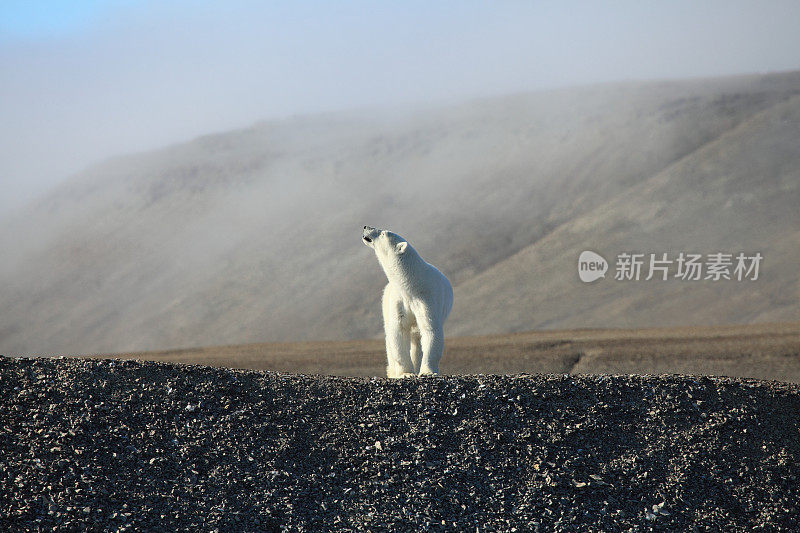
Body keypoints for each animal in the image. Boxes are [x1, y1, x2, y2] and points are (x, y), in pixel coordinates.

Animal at [360, 227, 454, 376]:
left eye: (383, 233)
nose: (366, 227)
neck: (412, 284)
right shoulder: (399, 300)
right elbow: (398, 330)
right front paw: (406, 373)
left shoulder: (427, 299)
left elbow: (430, 329)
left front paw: (427, 372)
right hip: (385, 305)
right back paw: (393, 372)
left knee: (417, 340)